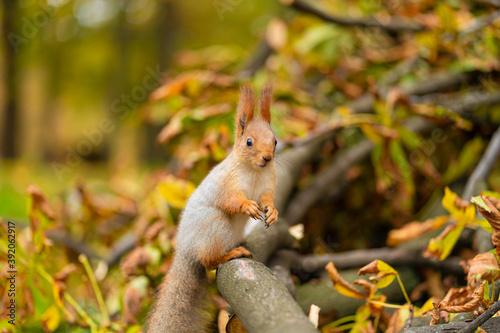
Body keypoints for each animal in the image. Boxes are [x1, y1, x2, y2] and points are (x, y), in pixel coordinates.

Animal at [145, 83, 280, 332]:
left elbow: (268, 200)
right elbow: (232, 201)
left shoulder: (269, 183)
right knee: (208, 261)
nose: (267, 158)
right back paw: (232, 253)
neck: (255, 171)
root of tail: (185, 251)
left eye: (275, 141)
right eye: (249, 141)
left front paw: (273, 213)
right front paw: (248, 206)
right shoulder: (227, 183)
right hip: (216, 225)